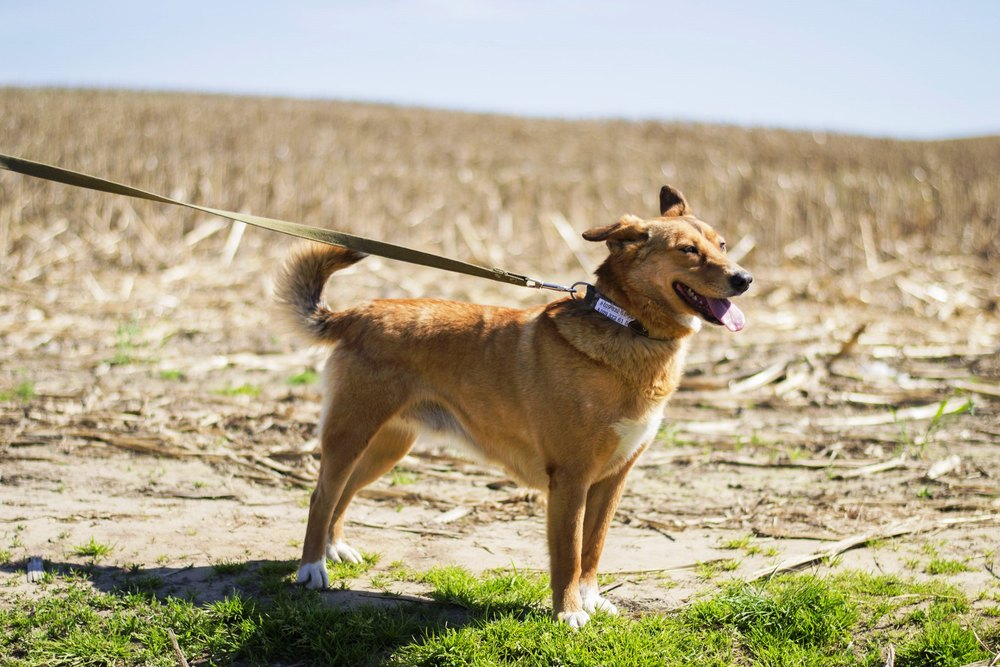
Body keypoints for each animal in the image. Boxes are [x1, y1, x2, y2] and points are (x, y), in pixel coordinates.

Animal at [274, 185, 752, 628]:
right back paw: (312, 568)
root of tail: (356, 313)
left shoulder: (614, 478)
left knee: (344, 493)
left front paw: (591, 600)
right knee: (321, 495)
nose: (744, 280)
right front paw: (570, 612)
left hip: (387, 447)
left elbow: (593, 549)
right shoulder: (571, 479)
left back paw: (335, 548)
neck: (627, 325)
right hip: (350, 434)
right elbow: (569, 555)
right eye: (687, 250)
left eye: (723, 244)